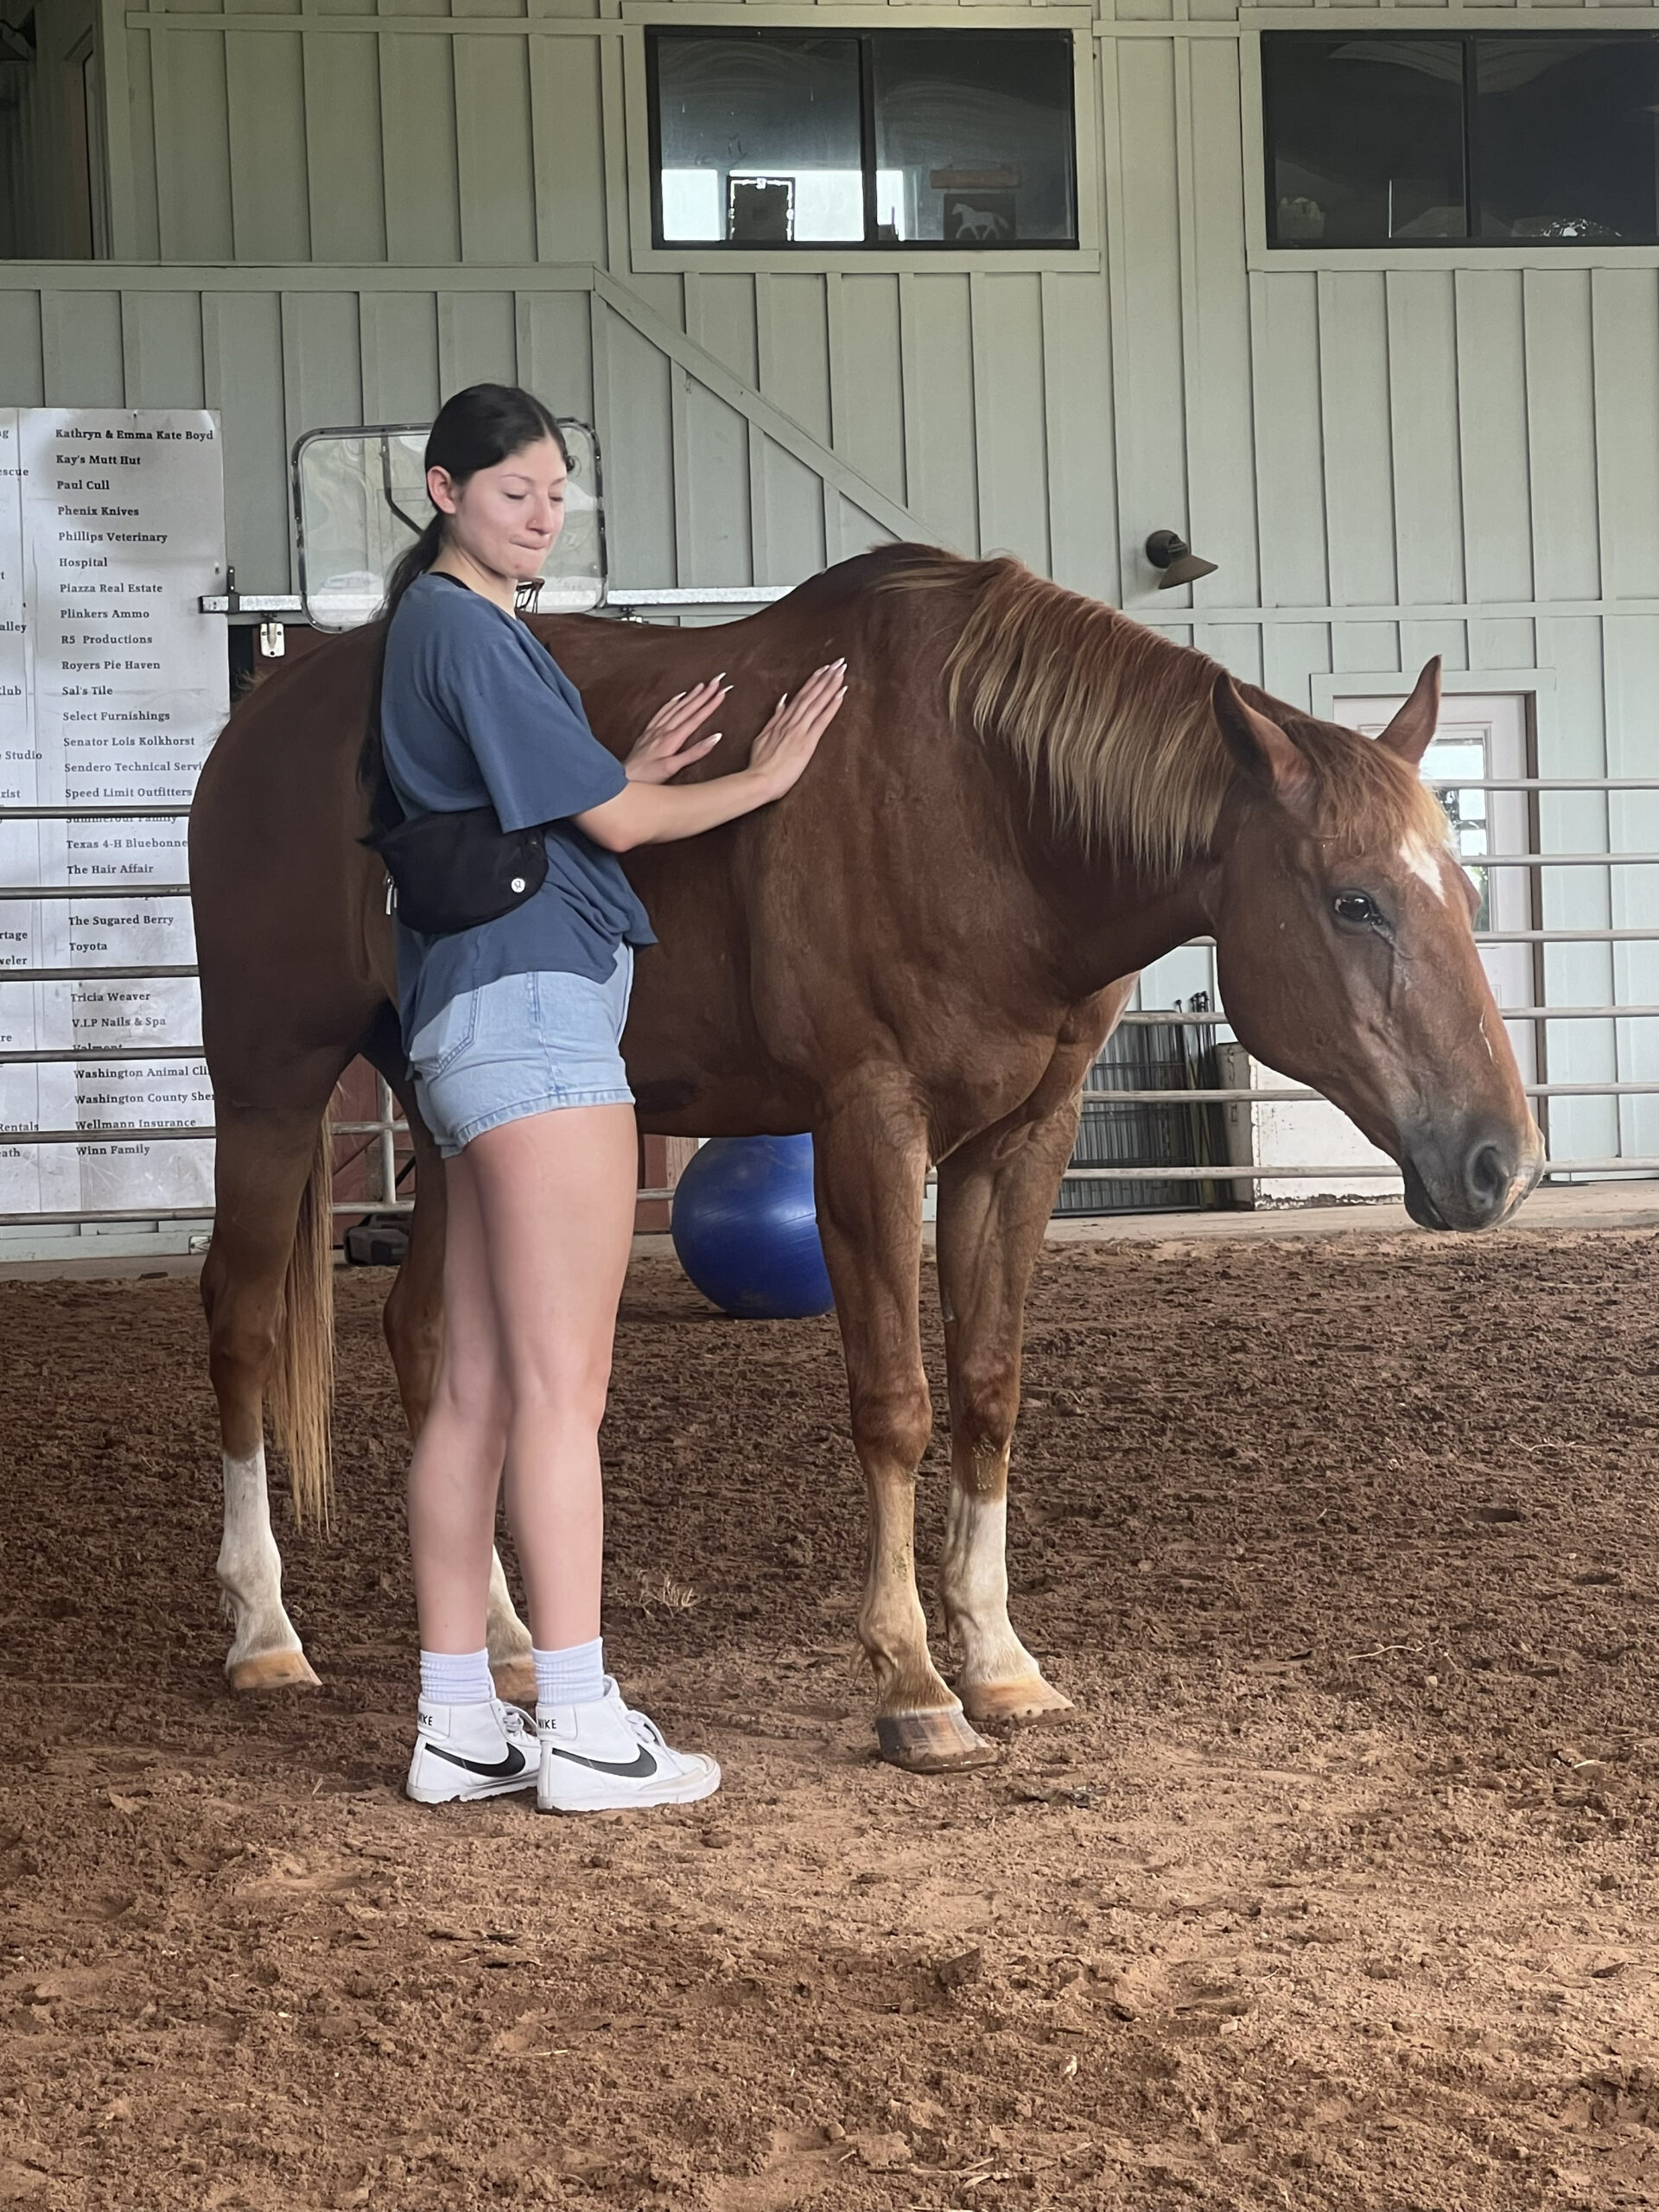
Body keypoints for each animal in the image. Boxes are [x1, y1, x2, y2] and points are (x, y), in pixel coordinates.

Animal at [188, 545, 1543, 1774]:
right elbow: (896, 1405)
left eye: (1463, 890)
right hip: (270, 1089)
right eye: (1354, 901)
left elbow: (989, 1391)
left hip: (459, 1121)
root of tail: (271, 706)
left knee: (424, 1338)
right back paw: (264, 1630)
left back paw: (511, 1639)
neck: (990, 809)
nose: (1502, 1161)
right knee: (243, 1320)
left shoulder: (1023, 1139)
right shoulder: (870, 1128)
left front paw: (999, 1661)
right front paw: (912, 1684)